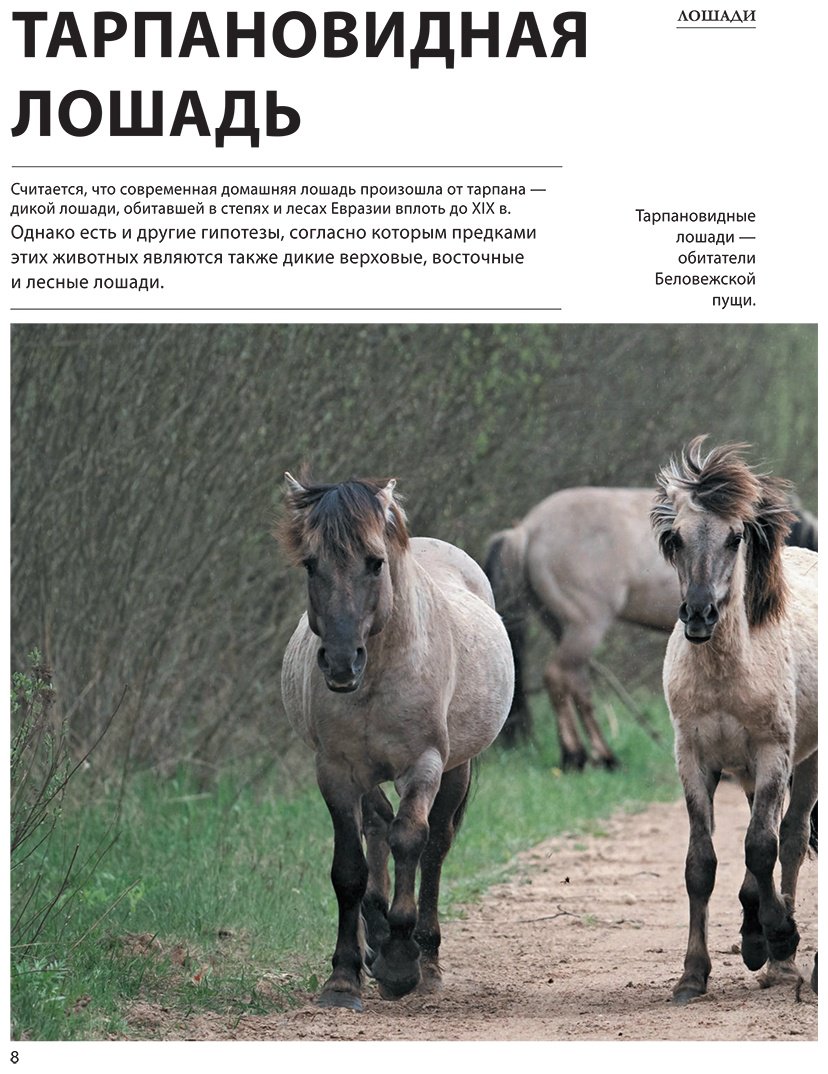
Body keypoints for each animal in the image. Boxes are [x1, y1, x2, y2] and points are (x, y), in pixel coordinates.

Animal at [279, 473, 514, 1011]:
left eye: (375, 562)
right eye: (311, 564)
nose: (341, 662)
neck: (380, 674)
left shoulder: (423, 765)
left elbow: (411, 840)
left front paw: (403, 965)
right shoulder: (337, 771)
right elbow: (350, 868)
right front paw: (344, 977)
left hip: (455, 768)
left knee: (433, 845)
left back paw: (425, 958)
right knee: (377, 826)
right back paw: (377, 937)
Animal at [483, 487, 817, 769]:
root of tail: (526, 530)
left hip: (562, 627)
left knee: (574, 682)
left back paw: (595, 756)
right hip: (585, 626)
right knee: (558, 677)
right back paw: (580, 756)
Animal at [651, 437, 818, 1003]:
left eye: (735, 536)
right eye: (675, 538)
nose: (700, 614)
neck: (726, 676)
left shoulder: (772, 754)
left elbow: (762, 848)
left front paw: (783, 937)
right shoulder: (694, 759)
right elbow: (701, 864)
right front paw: (691, 974)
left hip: (803, 764)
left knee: (789, 839)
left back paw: (781, 961)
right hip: (744, 772)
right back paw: (753, 938)